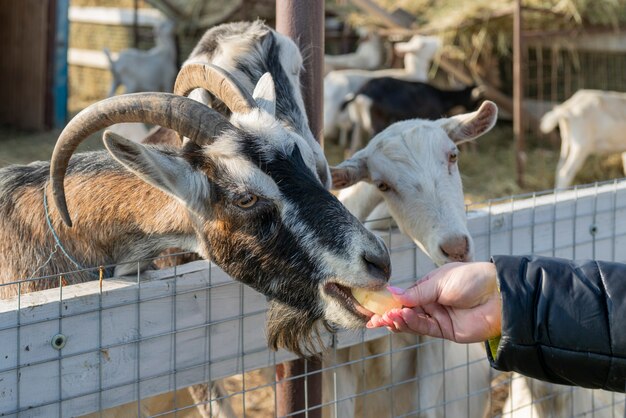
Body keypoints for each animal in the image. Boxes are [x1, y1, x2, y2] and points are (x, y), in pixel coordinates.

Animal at [338, 76, 480, 153]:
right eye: (476, 100)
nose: (475, 108)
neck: (439, 97)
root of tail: (361, 92)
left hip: (358, 122)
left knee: (353, 145)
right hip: (376, 121)